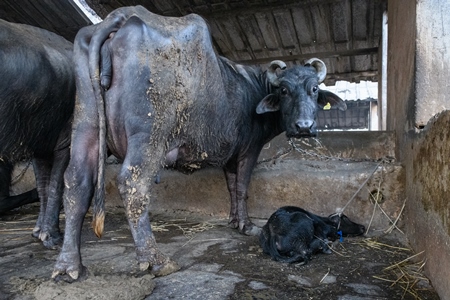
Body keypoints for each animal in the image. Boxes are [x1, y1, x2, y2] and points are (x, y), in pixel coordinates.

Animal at [53, 5, 344, 280]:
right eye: (284, 90)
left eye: (314, 89)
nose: (304, 127)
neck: (253, 88)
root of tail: (121, 17)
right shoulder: (249, 149)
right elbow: (242, 187)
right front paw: (247, 225)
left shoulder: (229, 155)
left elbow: (231, 187)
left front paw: (234, 220)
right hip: (149, 135)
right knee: (132, 184)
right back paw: (156, 260)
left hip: (86, 125)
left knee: (76, 182)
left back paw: (70, 266)